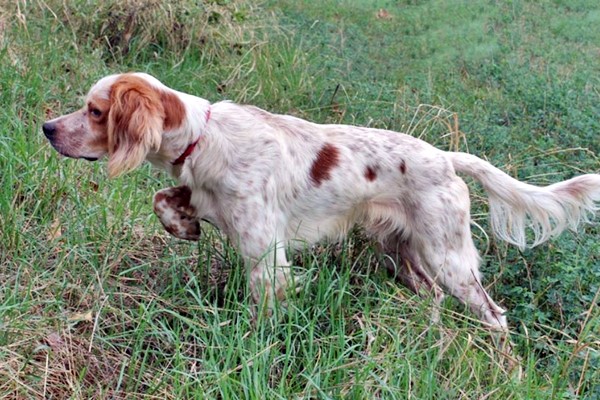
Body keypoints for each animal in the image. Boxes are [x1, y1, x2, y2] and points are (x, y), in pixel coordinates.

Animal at [42, 71, 600, 332]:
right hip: (401, 252)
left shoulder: (265, 254)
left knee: (494, 314)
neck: (203, 137)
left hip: (449, 256)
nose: (47, 128)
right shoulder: (211, 201)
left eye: (94, 111)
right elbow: (164, 198)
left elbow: (264, 312)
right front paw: (183, 226)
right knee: (434, 298)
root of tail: (446, 156)